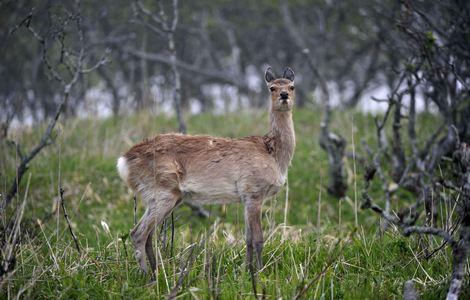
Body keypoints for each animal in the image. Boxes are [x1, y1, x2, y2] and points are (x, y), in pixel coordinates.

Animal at [116, 67, 296, 280]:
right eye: (272, 87)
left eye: (292, 86)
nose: (284, 95)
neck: (274, 154)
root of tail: (124, 161)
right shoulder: (254, 191)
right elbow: (258, 239)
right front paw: (259, 275)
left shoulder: (245, 197)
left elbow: (247, 239)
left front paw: (246, 272)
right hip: (161, 191)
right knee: (138, 233)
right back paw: (149, 277)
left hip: (167, 196)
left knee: (148, 234)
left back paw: (155, 273)